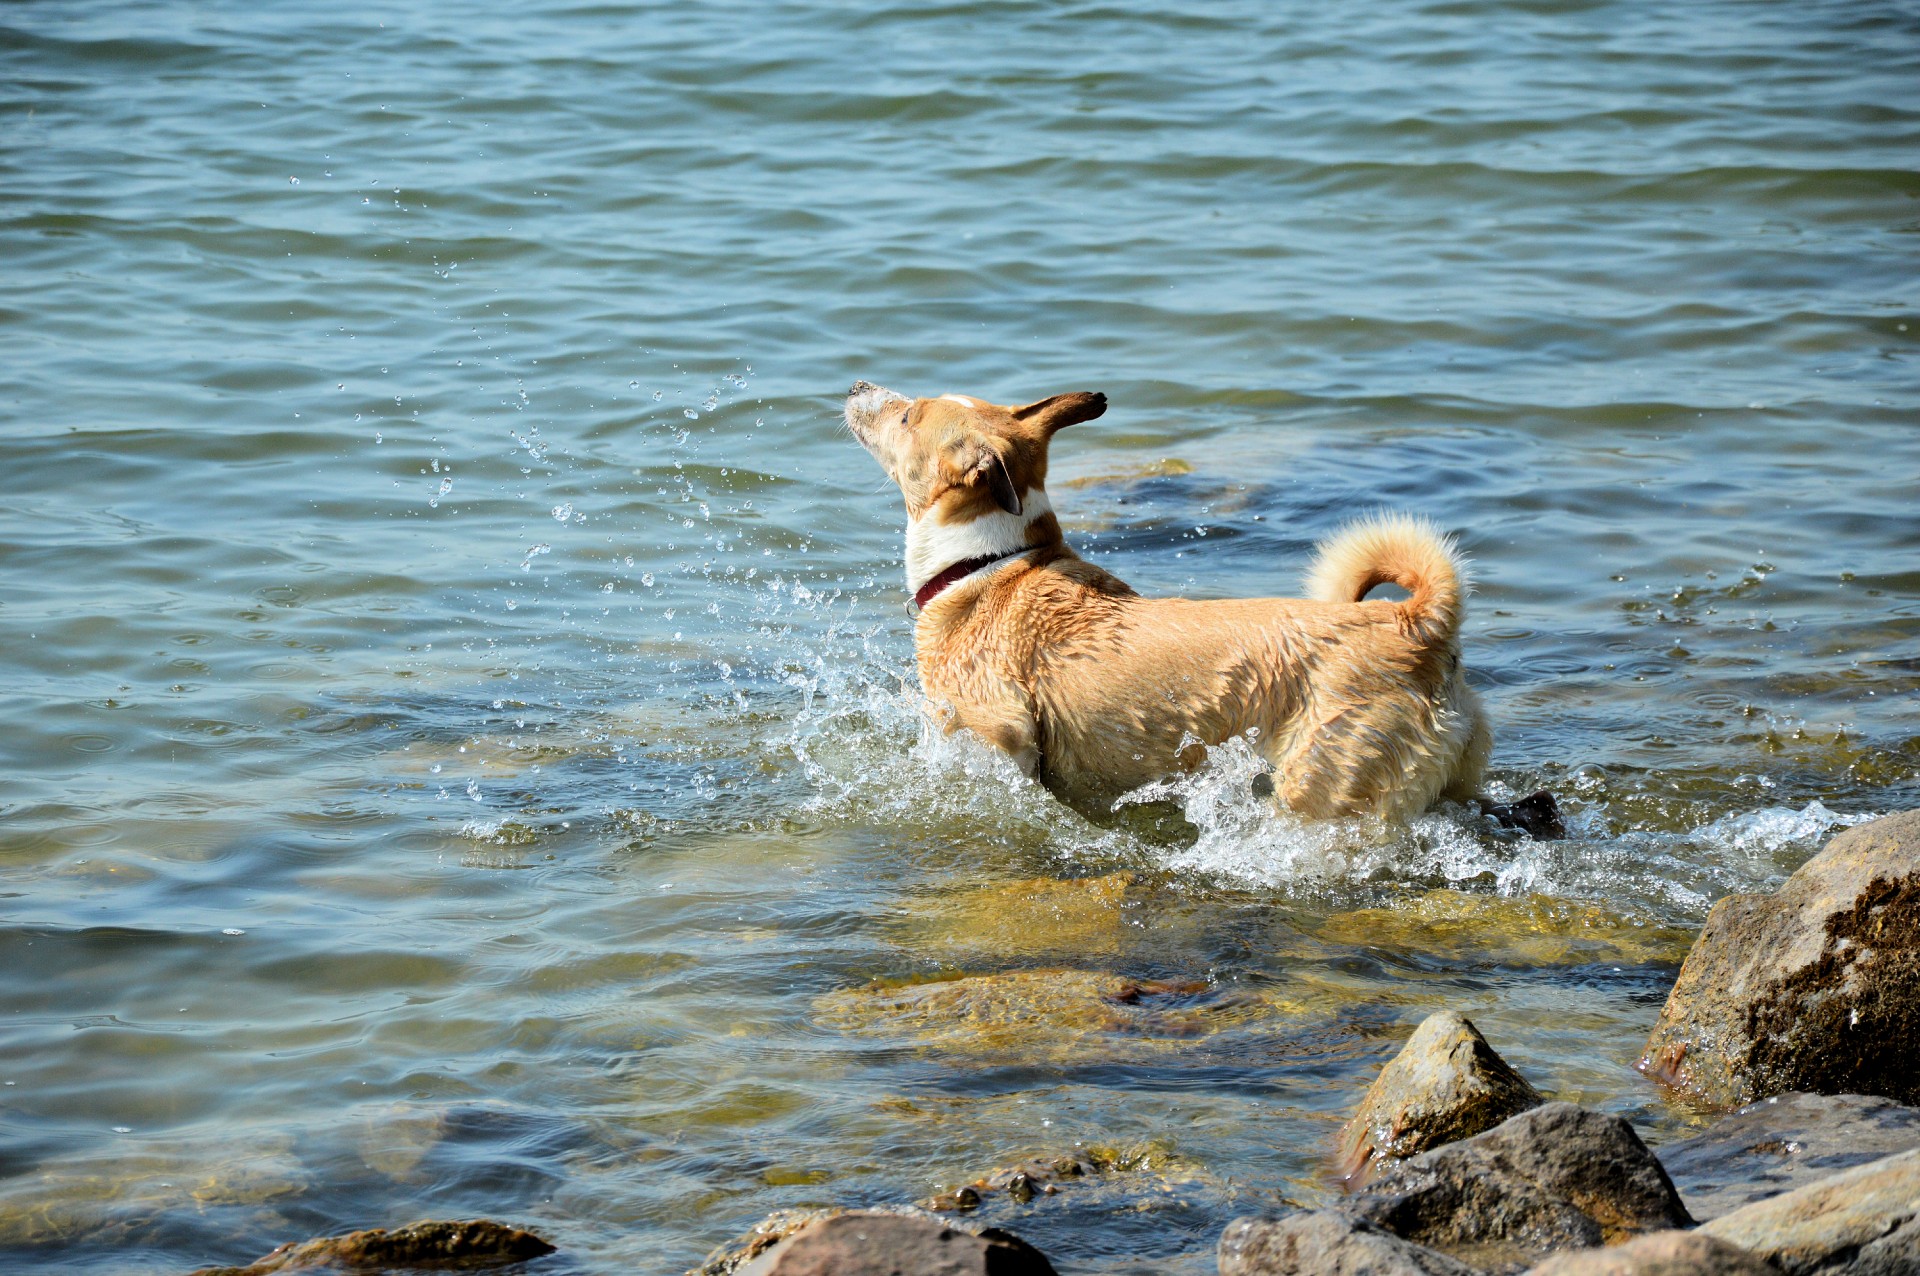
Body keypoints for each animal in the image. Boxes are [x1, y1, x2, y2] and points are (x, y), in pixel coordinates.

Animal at [848, 383, 1505, 825]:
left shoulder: (997, 737)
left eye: (907, 414)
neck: (984, 561)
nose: (857, 385)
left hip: (1327, 791)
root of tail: (1417, 624)